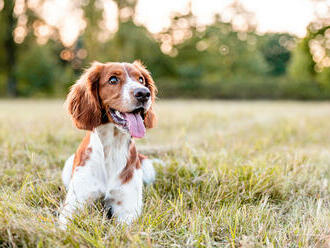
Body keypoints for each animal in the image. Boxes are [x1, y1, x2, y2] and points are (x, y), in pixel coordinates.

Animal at [58, 61, 157, 228]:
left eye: (141, 79)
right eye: (113, 80)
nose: (143, 93)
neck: (112, 148)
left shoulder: (127, 209)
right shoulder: (74, 204)